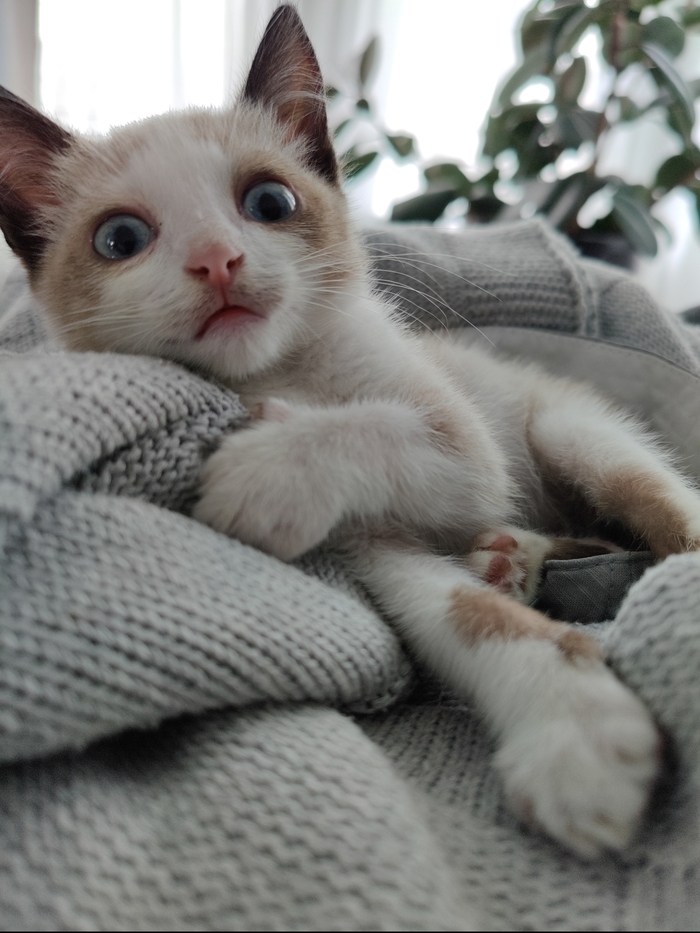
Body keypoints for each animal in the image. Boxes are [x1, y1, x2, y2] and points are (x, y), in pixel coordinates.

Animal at [1, 3, 699, 859]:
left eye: (270, 203)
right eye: (120, 240)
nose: (218, 259)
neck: (286, 373)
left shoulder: (464, 443)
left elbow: (407, 437)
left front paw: (269, 467)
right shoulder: (370, 545)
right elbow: (453, 612)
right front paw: (570, 721)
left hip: (576, 433)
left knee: (663, 521)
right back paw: (511, 560)